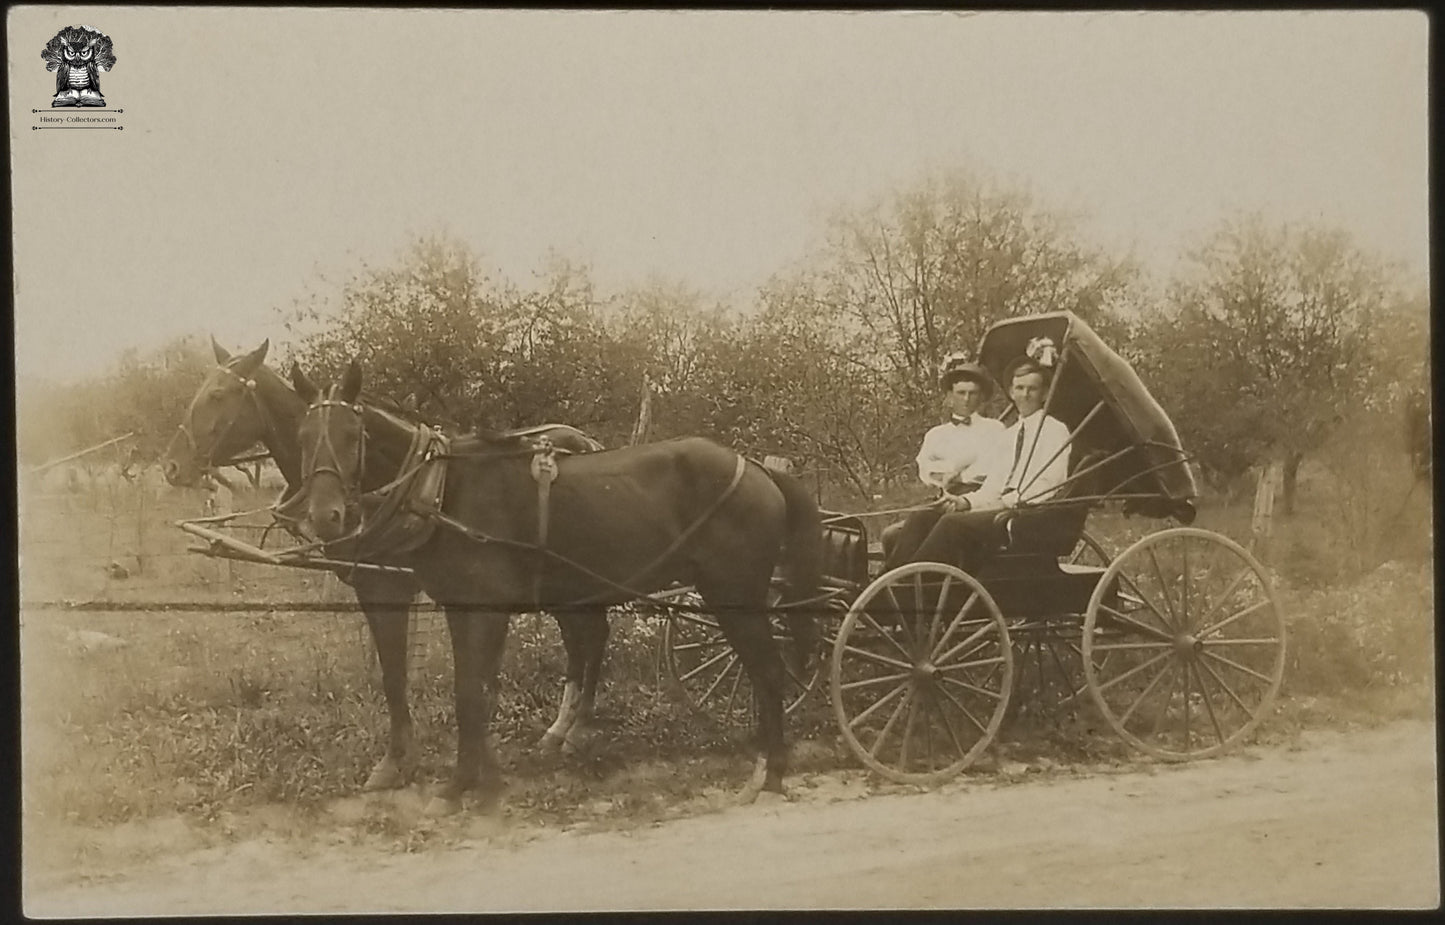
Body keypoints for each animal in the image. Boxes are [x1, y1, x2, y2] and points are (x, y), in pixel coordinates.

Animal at [158, 335, 609, 786]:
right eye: (303, 436)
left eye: (218, 395)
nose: (172, 466)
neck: (399, 485)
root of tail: (585, 443)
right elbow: (397, 674)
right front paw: (403, 758)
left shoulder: (387, 587)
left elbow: (396, 673)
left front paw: (397, 760)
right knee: (584, 637)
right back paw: (562, 731)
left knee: (588, 637)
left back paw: (574, 730)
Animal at [290, 358, 826, 815]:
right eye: (303, 436)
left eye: (352, 434)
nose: (325, 515)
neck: (443, 489)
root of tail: (758, 468)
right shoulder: (462, 608)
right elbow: (473, 691)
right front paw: (474, 781)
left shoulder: (487, 609)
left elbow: (472, 692)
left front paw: (468, 784)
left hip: (734, 596)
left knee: (768, 672)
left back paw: (771, 773)